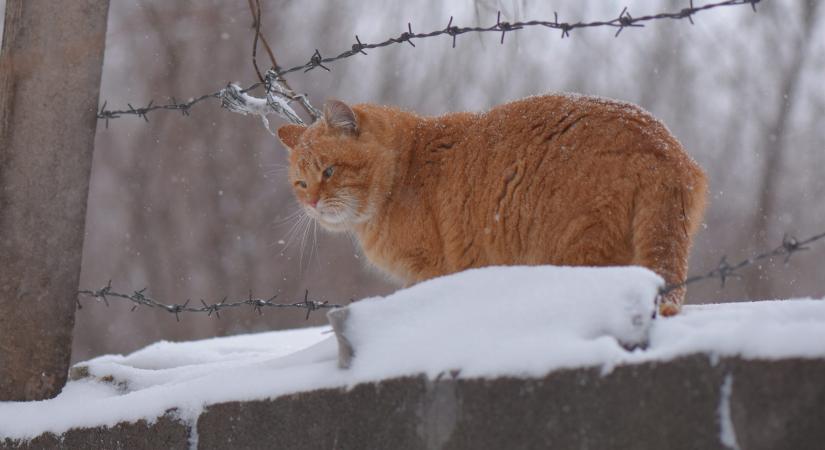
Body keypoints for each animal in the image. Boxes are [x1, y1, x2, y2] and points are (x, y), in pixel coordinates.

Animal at [278, 93, 708, 314]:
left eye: (329, 171)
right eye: (301, 183)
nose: (312, 201)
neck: (406, 169)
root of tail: (661, 146)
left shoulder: (428, 270)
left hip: (576, 249)